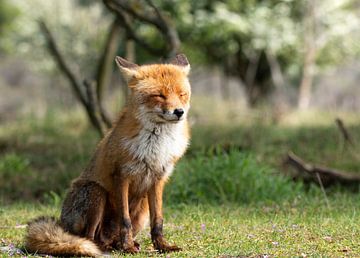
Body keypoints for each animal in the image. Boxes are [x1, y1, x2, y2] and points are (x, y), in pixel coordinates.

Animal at [24, 54, 191, 256]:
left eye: (182, 94)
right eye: (160, 95)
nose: (179, 112)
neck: (155, 145)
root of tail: (63, 223)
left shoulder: (158, 179)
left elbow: (158, 221)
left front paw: (162, 246)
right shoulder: (121, 175)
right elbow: (125, 220)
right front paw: (127, 247)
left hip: (142, 208)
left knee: (108, 237)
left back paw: (118, 244)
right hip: (96, 192)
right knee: (89, 237)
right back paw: (104, 247)